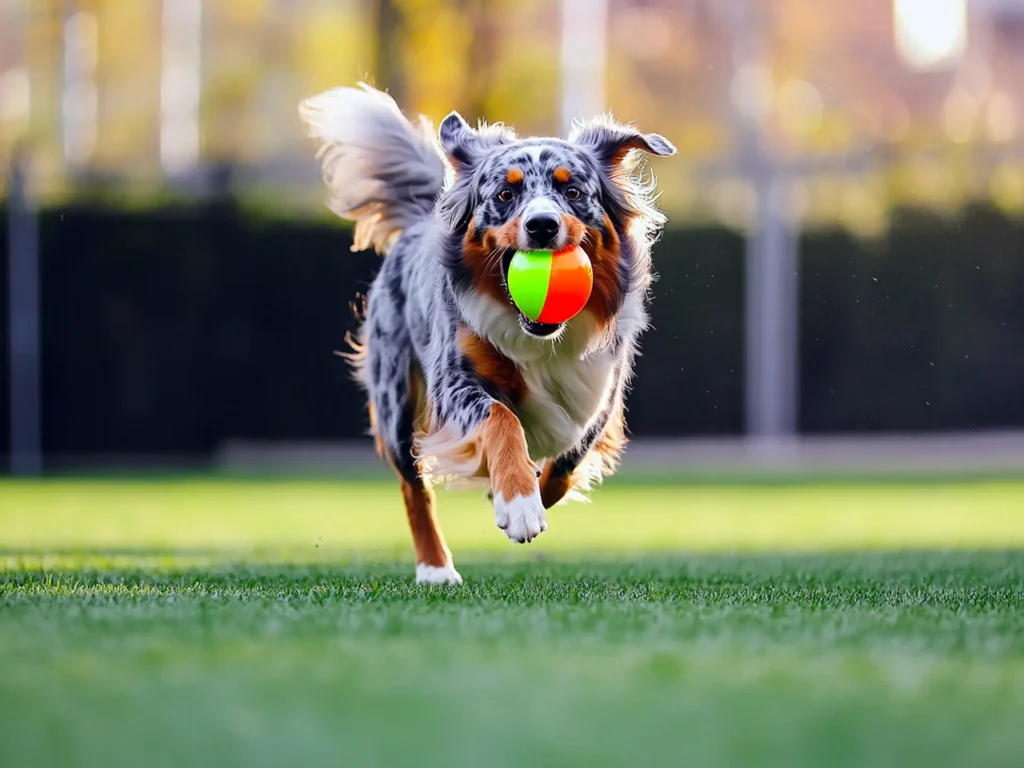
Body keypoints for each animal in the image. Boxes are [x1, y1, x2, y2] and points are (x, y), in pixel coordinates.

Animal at [299, 83, 675, 585]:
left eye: (572, 190)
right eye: (505, 192)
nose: (542, 225)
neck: (540, 338)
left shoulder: (600, 394)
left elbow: (566, 464)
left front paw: (520, 491)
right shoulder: (453, 382)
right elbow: (501, 418)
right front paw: (518, 504)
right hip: (395, 399)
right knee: (414, 487)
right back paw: (436, 568)